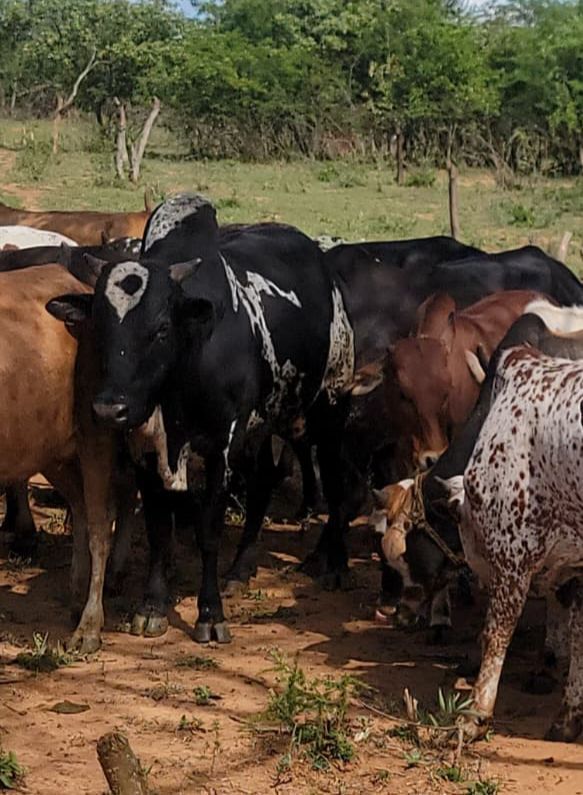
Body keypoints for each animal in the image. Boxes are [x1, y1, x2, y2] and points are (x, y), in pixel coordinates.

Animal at [48, 193, 360, 644]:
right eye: (99, 326)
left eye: (161, 328)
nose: (110, 408)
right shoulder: (146, 453)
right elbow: (159, 530)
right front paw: (152, 606)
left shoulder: (219, 448)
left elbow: (208, 531)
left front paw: (210, 614)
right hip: (261, 425)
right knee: (263, 481)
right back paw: (241, 569)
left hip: (330, 403)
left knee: (335, 484)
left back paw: (334, 564)